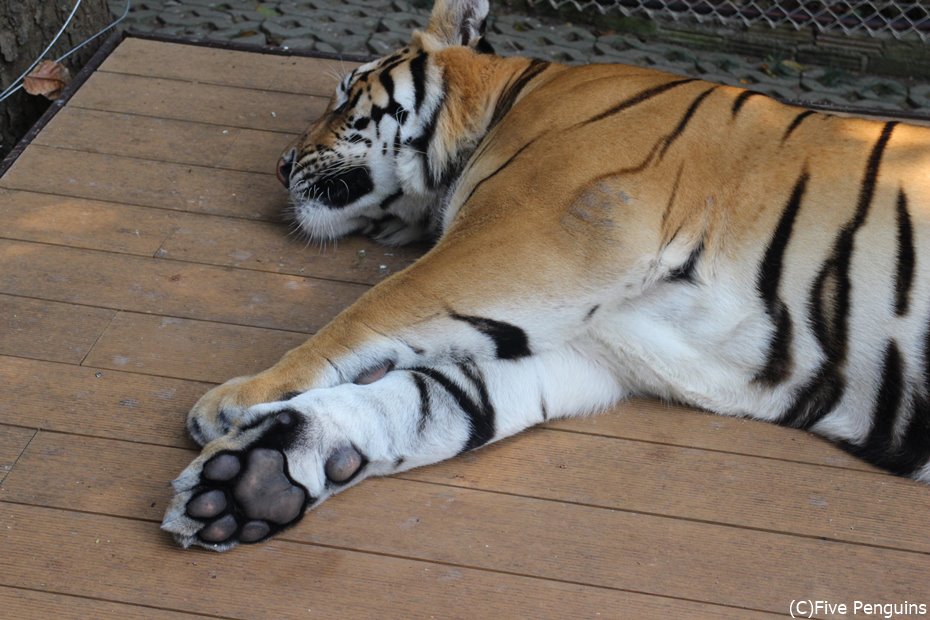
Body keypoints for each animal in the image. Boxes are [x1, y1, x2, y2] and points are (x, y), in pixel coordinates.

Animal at [163, 0, 928, 548]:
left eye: (347, 95)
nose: (281, 166)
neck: (513, 102)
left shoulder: (537, 232)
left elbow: (377, 306)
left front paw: (235, 401)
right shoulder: (594, 343)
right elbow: (429, 399)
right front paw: (255, 478)